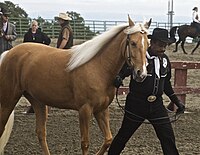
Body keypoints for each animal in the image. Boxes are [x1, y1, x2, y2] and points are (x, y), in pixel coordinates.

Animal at [0, 16, 150, 154]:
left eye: (148, 44)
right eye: (133, 43)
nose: (141, 73)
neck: (98, 67)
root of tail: (8, 53)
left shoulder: (101, 110)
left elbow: (108, 139)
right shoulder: (85, 110)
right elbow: (85, 143)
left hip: (38, 102)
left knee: (41, 133)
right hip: (8, 101)